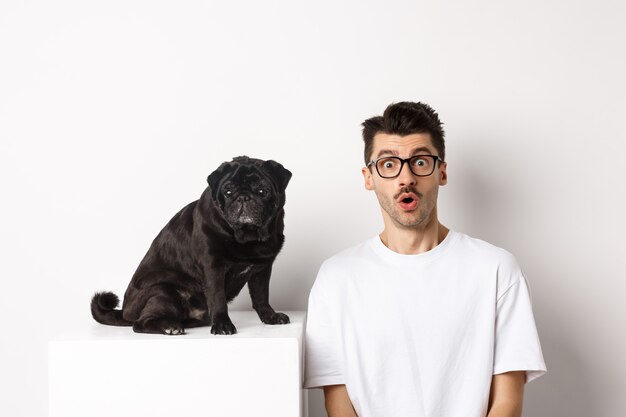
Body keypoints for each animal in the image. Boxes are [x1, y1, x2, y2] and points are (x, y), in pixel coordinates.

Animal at [91, 156, 292, 334]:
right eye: (228, 191)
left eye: (262, 191)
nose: (243, 197)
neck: (246, 236)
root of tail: (125, 311)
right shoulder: (213, 267)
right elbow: (218, 298)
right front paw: (223, 325)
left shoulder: (262, 269)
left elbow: (261, 297)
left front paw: (270, 317)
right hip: (163, 290)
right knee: (140, 323)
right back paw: (169, 326)